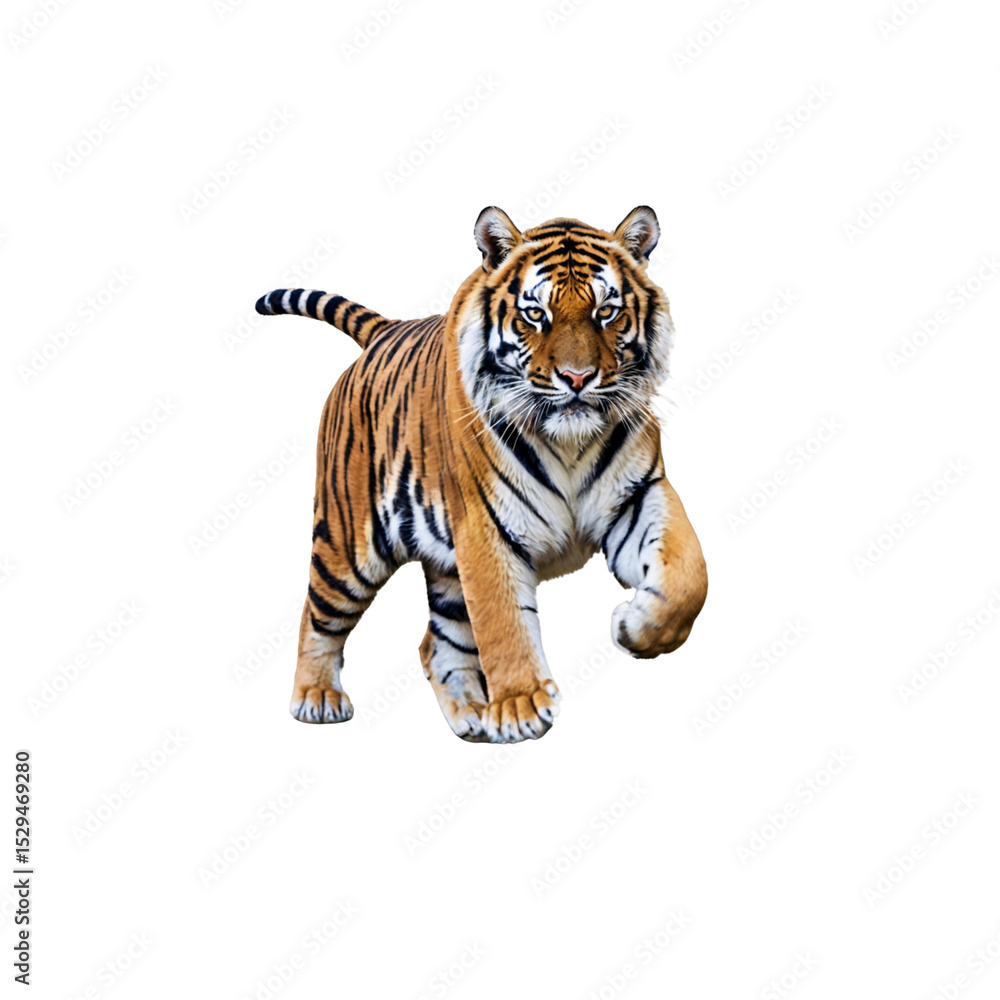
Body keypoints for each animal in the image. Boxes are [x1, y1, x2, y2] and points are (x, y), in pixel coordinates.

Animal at [254, 205, 707, 743]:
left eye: (606, 312)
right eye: (535, 315)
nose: (577, 379)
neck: (570, 444)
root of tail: (385, 330)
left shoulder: (640, 495)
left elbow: (690, 577)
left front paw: (635, 629)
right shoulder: (484, 525)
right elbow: (503, 622)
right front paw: (521, 706)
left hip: (445, 569)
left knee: (435, 642)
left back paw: (472, 715)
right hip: (350, 545)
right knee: (317, 615)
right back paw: (317, 697)